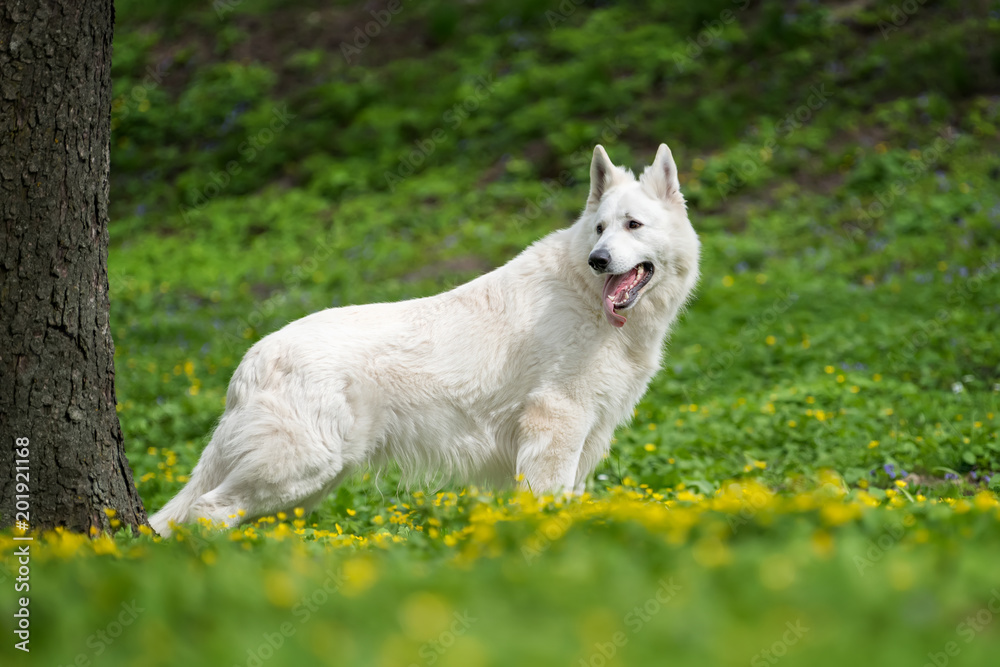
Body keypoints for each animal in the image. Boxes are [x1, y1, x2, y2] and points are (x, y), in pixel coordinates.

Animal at [148, 144, 700, 536]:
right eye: (600, 228)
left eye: (633, 225)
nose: (599, 260)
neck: (585, 297)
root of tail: (251, 360)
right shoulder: (556, 427)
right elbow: (547, 505)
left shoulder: (584, 441)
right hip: (299, 469)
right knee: (207, 511)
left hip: (307, 484)